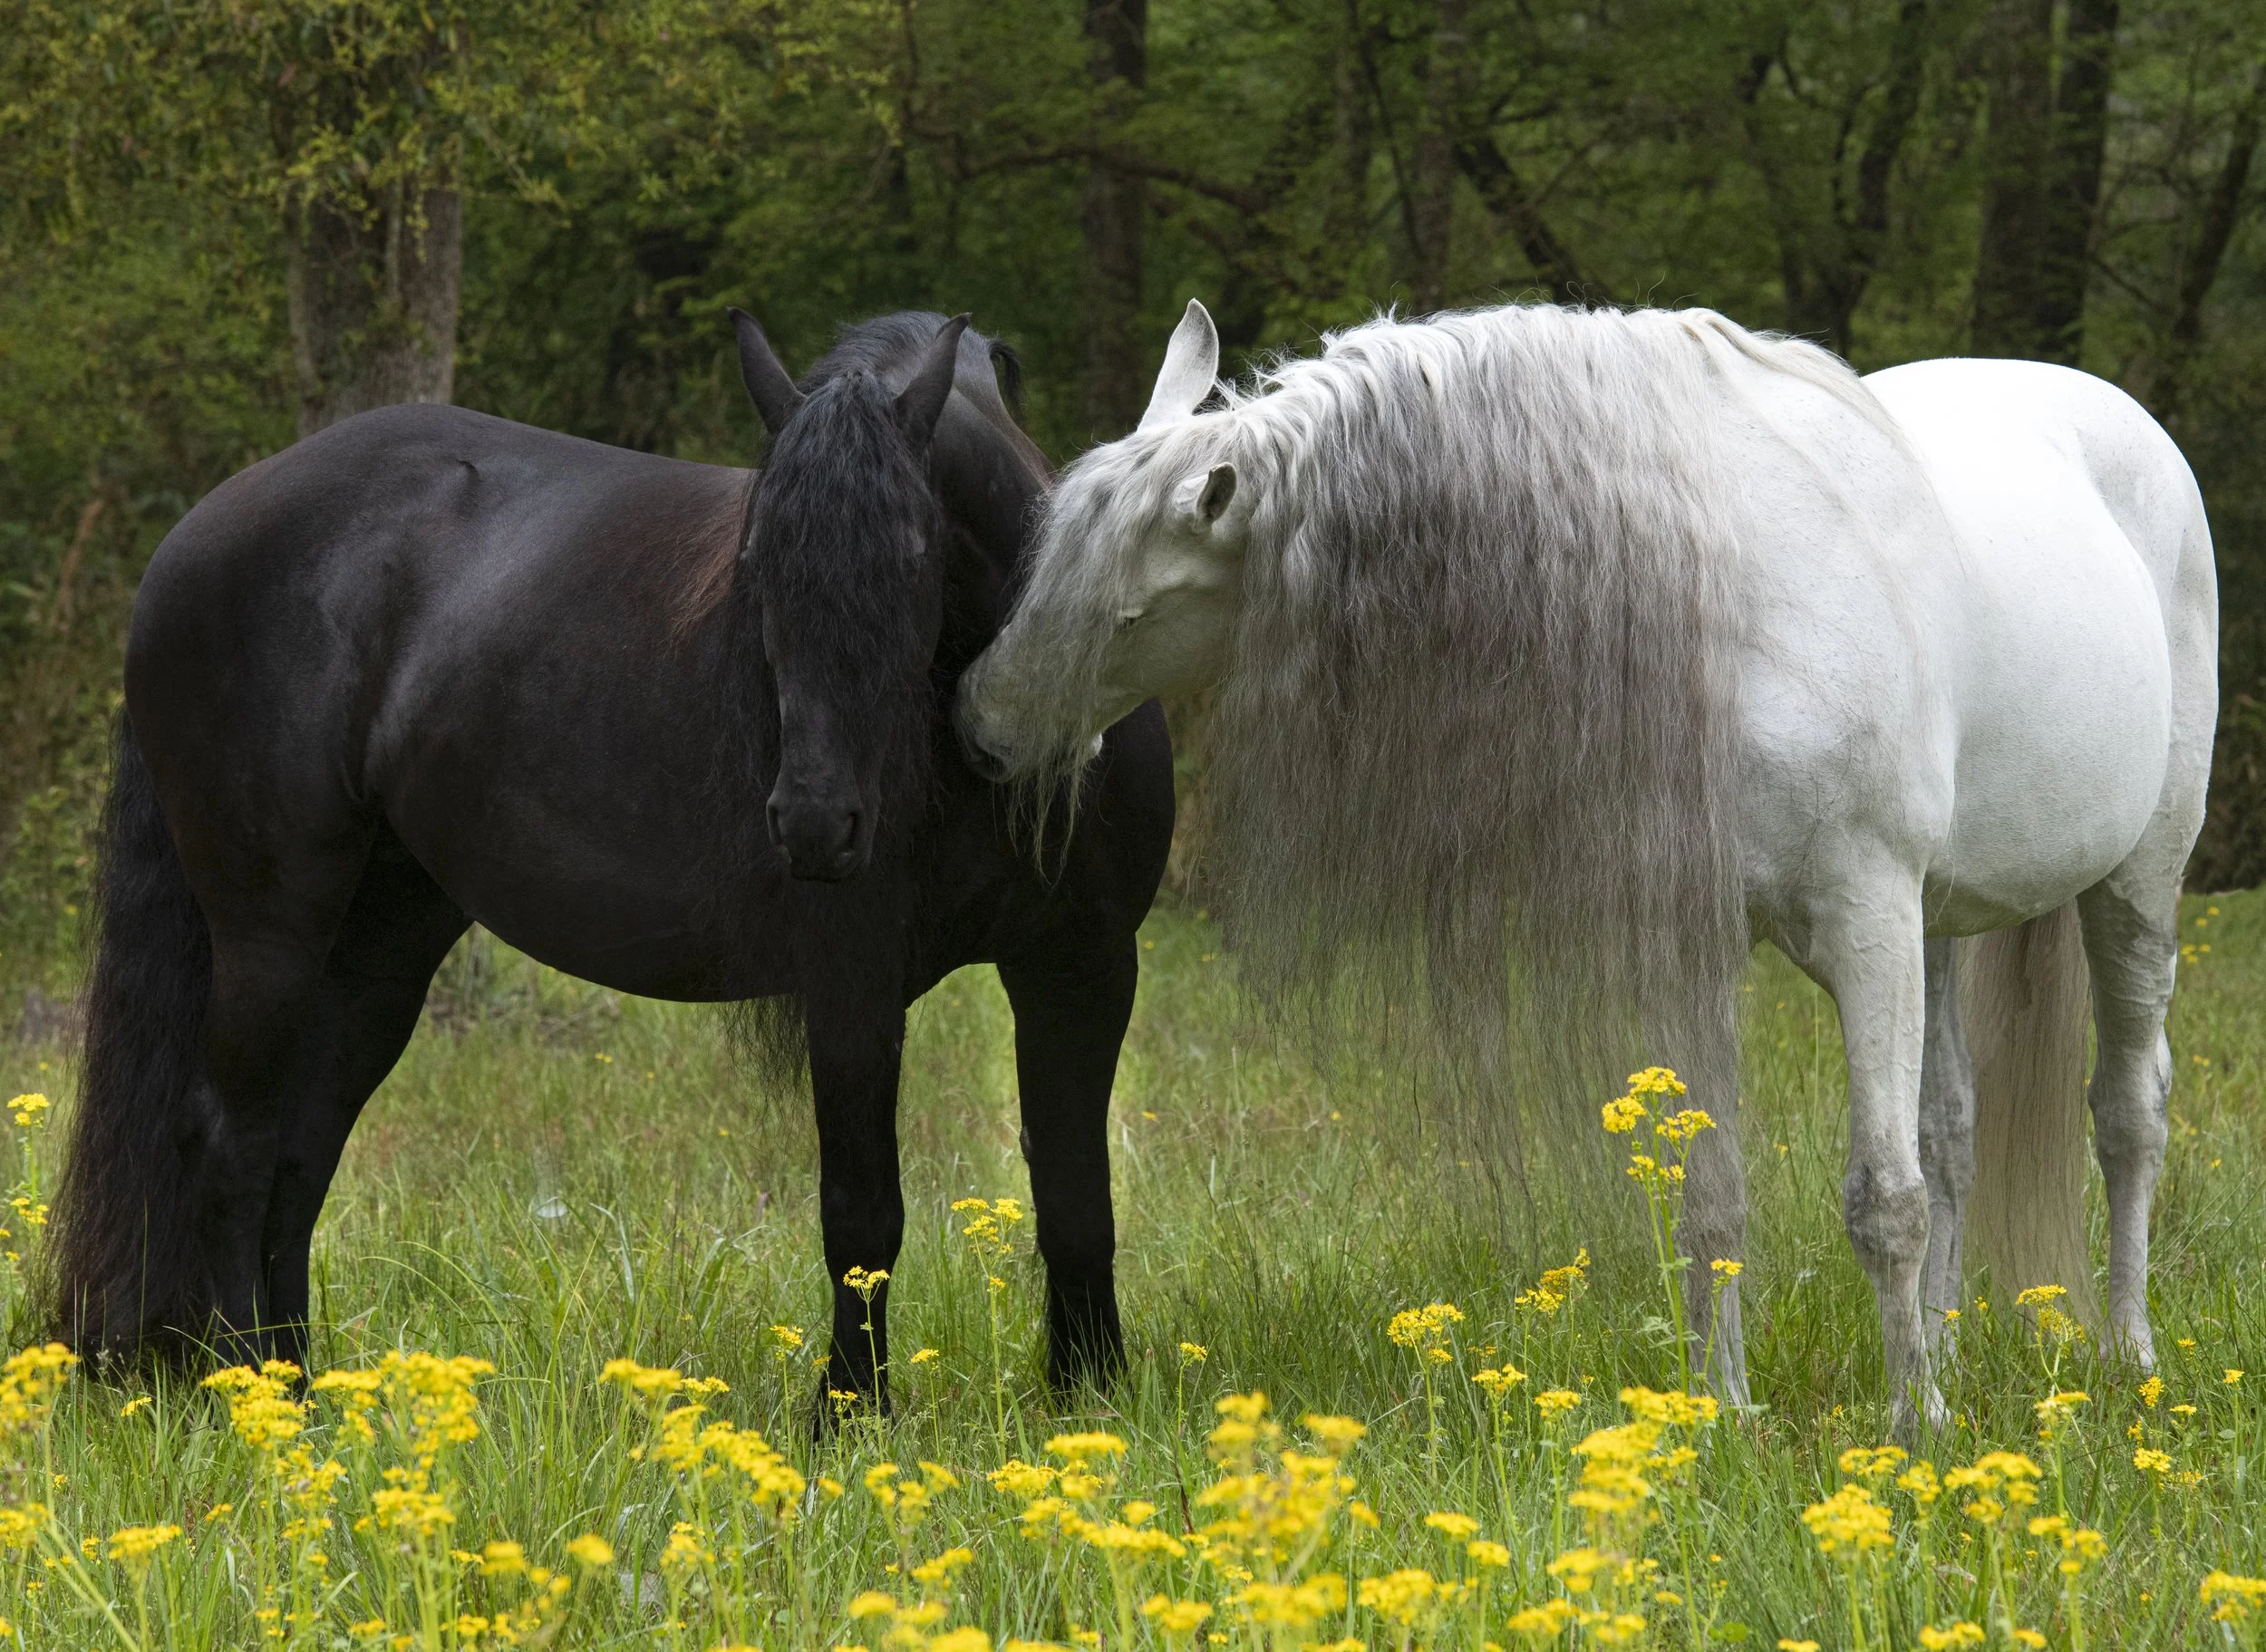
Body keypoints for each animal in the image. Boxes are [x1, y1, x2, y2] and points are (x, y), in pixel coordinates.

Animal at [46, 309, 1176, 1413]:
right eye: (755, 563)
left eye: (912, 554)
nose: (815, 824)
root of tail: (194, 535)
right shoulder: (852, 978)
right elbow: (863, 1215)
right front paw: (849, 1413)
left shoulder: (1082, 964)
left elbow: (1076, 1195)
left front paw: (1091, 1399)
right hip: (270, 928)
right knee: (230, 1141)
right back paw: (255, 1392)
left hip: (378, 947)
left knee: (295, 1149)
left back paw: (305, 1392)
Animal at [956, 298, 2215, 1434]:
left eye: (1128, 613)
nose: (980, 726)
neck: (1729, 599)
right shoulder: (1699, 938)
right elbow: (1712, 1195)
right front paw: (1724, 1417)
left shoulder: (1866, 914)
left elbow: (1881, 1197)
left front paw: (1917, 1433)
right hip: (1942, 924)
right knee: (1953, 1126)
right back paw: (1948, 1349)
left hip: (2131, 885)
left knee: (2125, 1112)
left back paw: (2125, 1351)